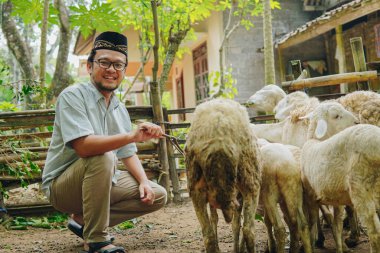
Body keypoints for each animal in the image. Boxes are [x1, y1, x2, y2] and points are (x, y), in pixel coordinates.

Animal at [186, 98, 262, 252]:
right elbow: (235, 224)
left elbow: (218, 220)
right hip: (251, 181)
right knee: (249, 229)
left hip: (195, 186)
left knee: (208, 235)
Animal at [300, 101, 380, 253]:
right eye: (336, 116)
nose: (357, 122)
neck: (315, 141)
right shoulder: (333, 198)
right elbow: (336, 224)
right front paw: (339, 247)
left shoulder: (311, 196)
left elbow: (313, 224)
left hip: (360, 186)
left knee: (374, 232)